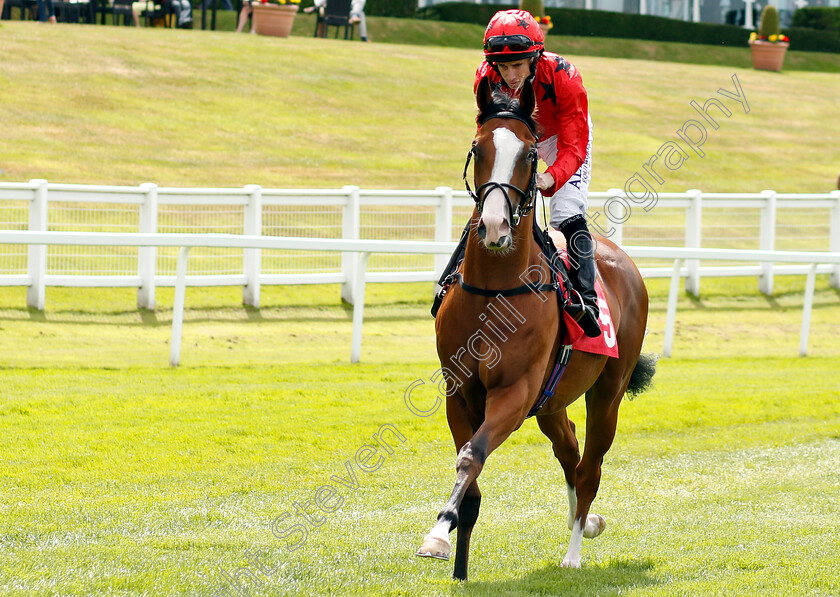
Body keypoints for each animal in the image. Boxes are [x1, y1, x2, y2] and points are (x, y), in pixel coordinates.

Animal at [416, 74, 652, 576]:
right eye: (478, 147)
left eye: (529, 156)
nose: (494, 226)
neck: (495, 291)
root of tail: (624, 262)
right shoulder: (459, 393)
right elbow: (470, 476)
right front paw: (455, 558)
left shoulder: (515, 391)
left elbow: (472, 456)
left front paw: (437, 533)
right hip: (552, 401)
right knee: (570, 451)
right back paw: (587, 521)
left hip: (608, 392)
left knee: (590, 467)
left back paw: (575, 550)